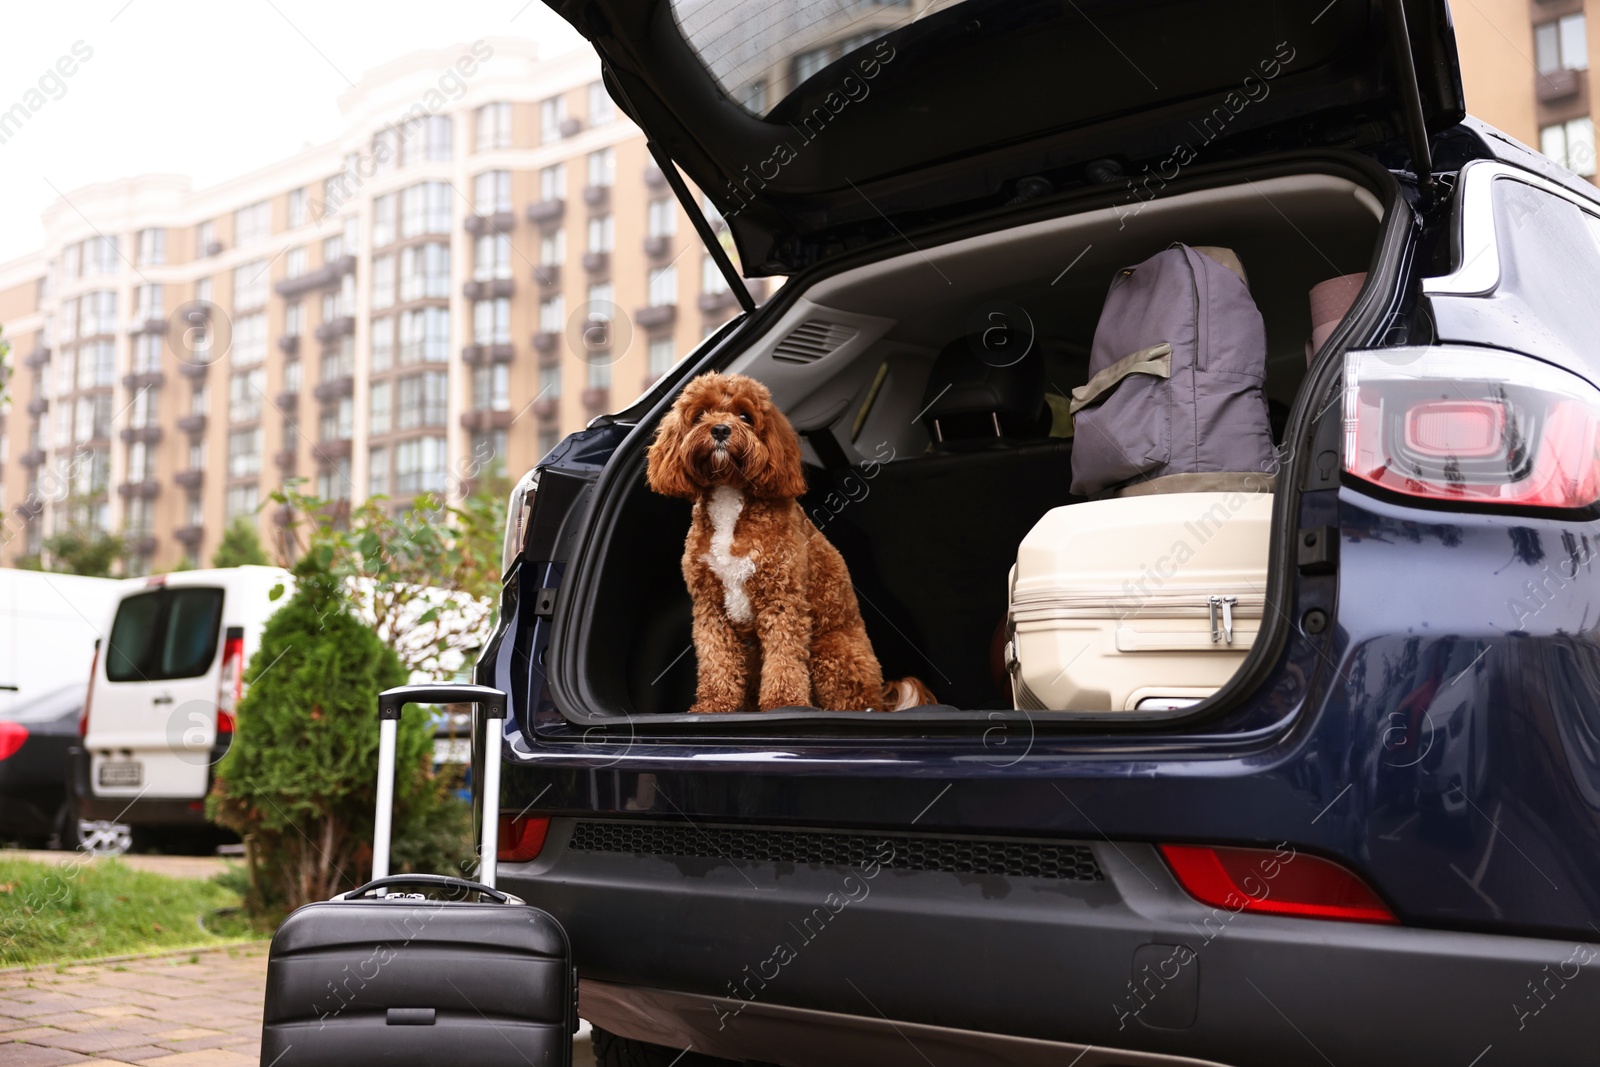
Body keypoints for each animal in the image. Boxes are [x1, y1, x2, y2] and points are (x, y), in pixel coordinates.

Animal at [643, 371, 934, 713]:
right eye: (700, 414)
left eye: (745, 416)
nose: (720, 429)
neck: (730, 494)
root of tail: (879, 696)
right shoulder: (710, 607)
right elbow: (717, 660)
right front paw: (714, 704)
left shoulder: (781, 598)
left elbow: (784, 657)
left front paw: (784, 702)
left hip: (831, 652)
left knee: (852, 700)